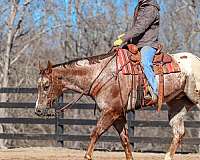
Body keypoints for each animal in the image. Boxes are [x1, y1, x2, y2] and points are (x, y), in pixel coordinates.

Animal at [35, 50, 200, 160]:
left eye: (46, 85)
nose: (38, 110)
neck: (102, 75)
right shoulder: (118, 115)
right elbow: (125, 140)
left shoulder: (110, 112)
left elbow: (95, 133)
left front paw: (88, 156)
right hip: (177, 106)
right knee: (178, 133)